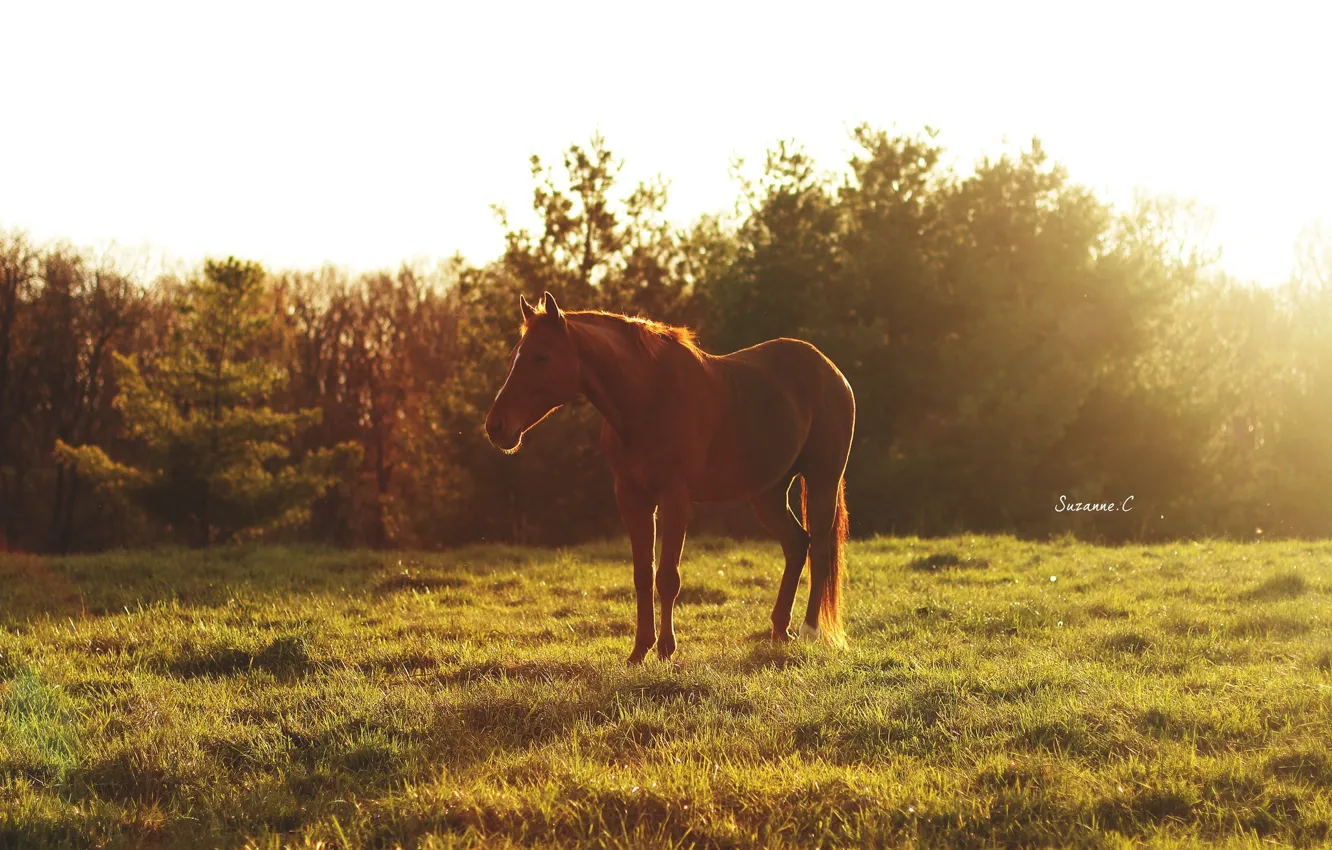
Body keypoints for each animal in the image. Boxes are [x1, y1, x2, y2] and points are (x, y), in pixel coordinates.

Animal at [484, 291, 855, 664]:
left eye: (541, 356)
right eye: (514, 356)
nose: (496, 426)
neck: (650, 398)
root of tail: (831, 370)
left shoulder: (675, 497)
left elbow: (667, 577)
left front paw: (665, 649)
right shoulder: (631, 497)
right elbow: (642, 574)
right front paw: (639, 650)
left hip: (822, 480)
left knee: (820, 548)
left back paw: (810, 632)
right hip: (768, 493)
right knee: (796, 545)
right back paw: (780, 631)